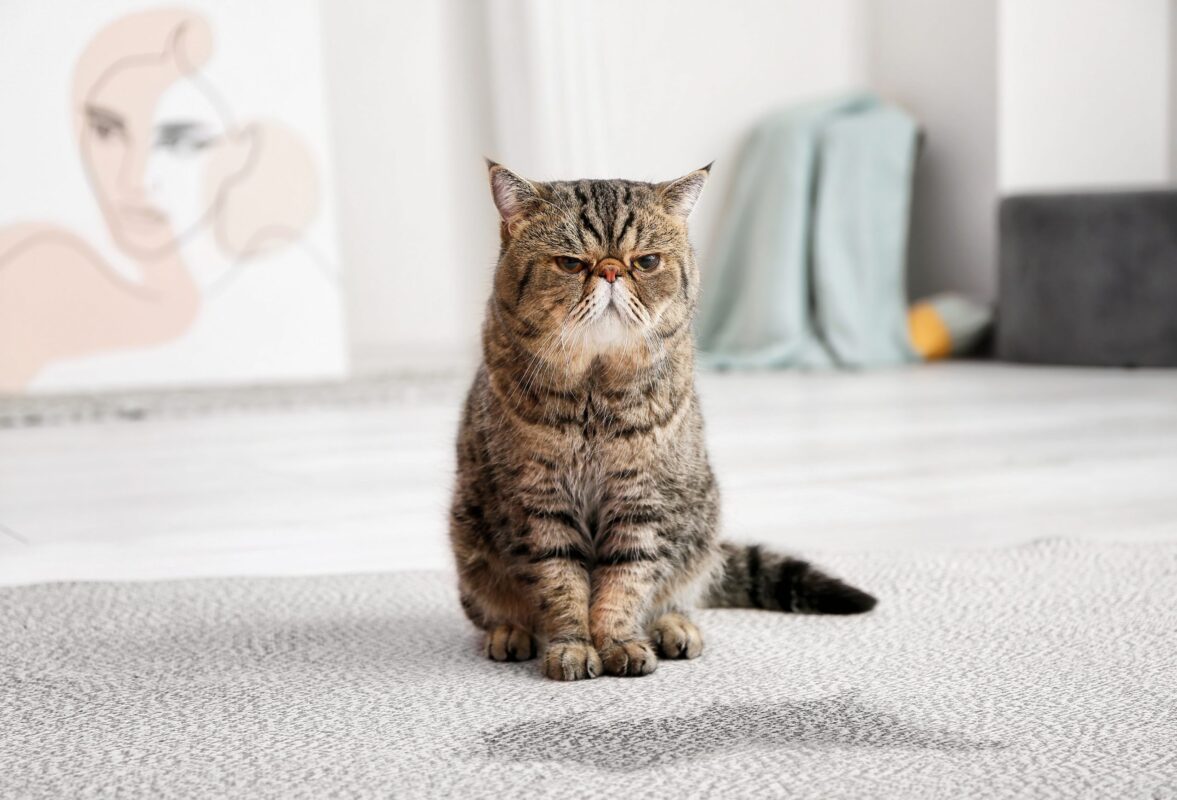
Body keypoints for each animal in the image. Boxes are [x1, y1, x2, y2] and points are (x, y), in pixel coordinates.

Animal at [449, 162, 875, 682]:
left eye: (646, 262)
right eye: (570, 264)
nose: (611, 270)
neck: (595, 394)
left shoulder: (643, 500)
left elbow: (627, 581)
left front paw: (618, 642)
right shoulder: (541, 504)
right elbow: (560, 584)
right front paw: (573, 646)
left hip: (701, 527)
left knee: (679, 592)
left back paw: (674, 627)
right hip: (468, 541)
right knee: (492, 609)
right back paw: (510, 632)